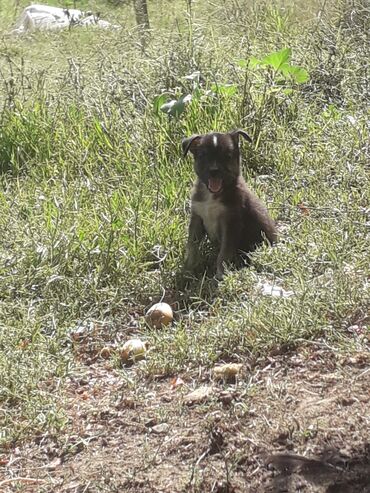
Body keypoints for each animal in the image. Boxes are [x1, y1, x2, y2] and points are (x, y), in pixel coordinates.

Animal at [184, 129, 276, 278]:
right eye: (203, 156)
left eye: (227, 156)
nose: (214, 171)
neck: (212, 196)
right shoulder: (197, 218)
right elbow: (192, 246)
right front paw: (187, 269)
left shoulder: (230, 224)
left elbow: (223, 254)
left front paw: (221, 274)